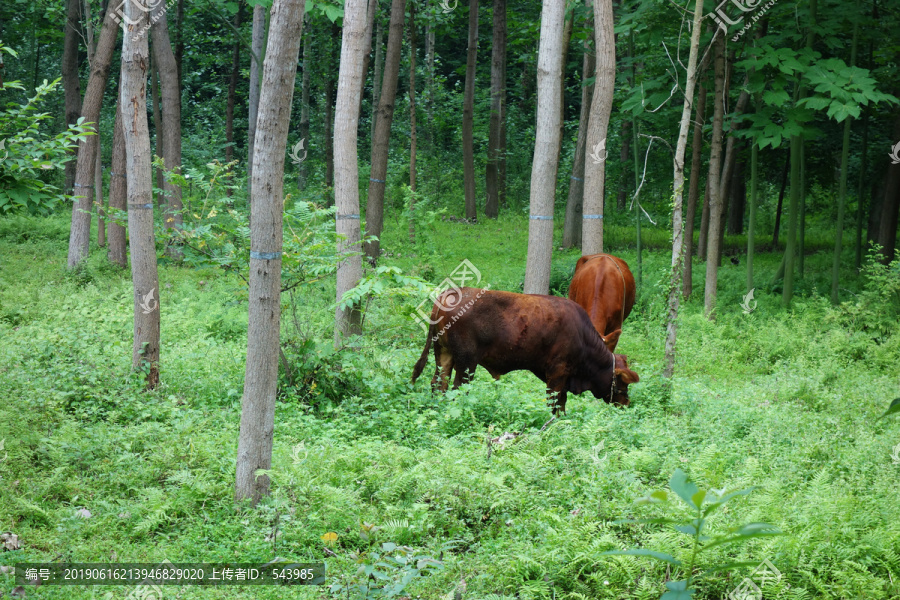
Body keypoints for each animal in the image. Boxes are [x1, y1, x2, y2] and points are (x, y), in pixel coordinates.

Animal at [412, 288, 636, 414]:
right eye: (623, 382)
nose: (626, 402)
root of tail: (448, 294)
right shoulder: (557, 374)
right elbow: (555, 404)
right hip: (466, 363)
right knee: (457, 389)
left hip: (444, 354)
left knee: (439, 384)